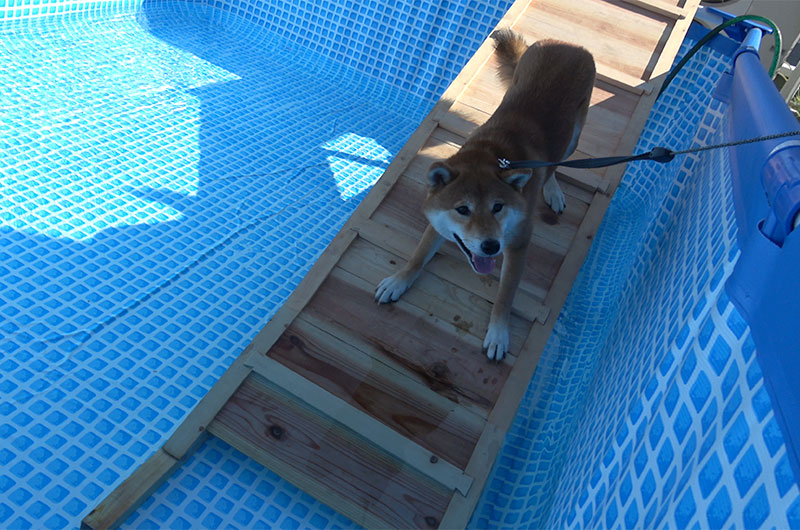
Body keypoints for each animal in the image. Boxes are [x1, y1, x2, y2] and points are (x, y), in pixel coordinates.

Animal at [376, 28, 592, 358]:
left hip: (574, 136)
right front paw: (398, 281)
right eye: (462, 210)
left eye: (498, 207)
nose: (491, 246)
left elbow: (505, 296)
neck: (491, 154)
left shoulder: (517, 245)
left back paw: (553, 189)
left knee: (555, 165)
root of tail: (569, 45)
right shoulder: (439, 224)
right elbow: (418, 256)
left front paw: (499, 334)